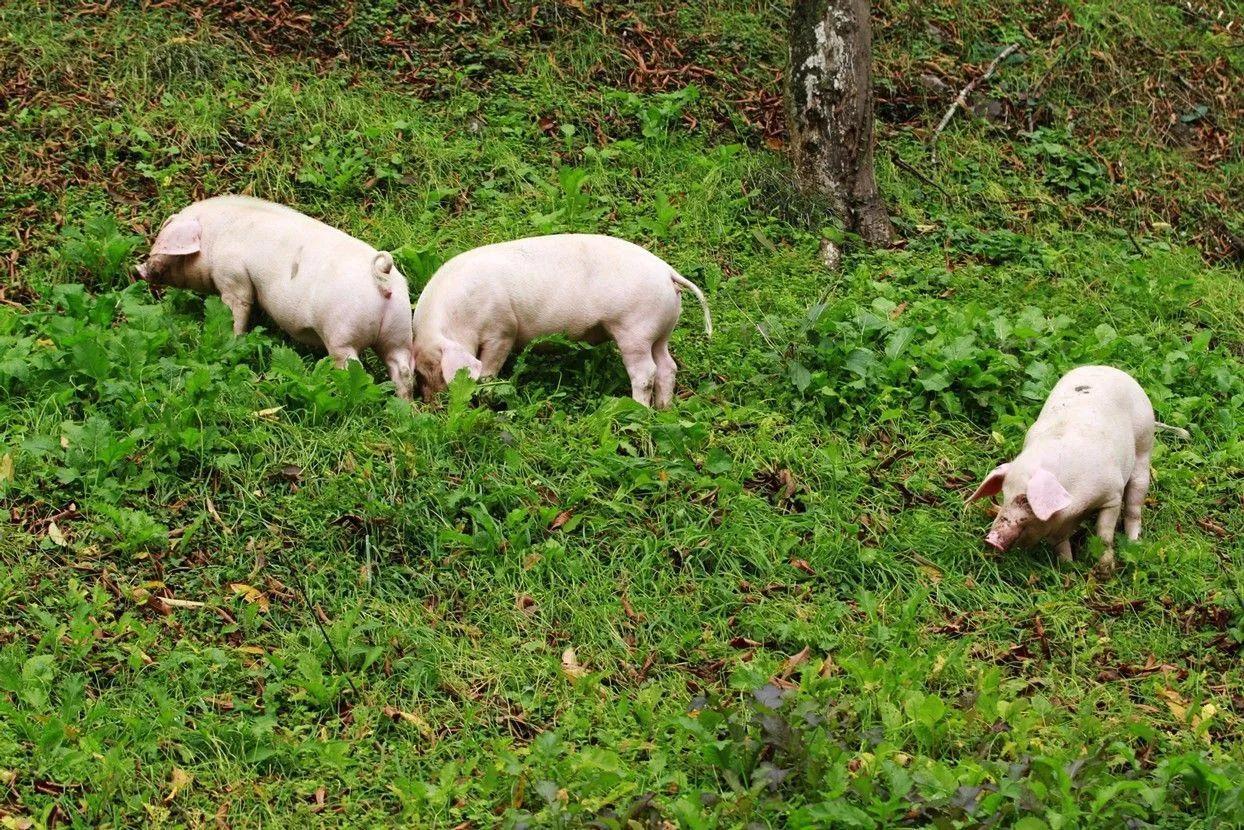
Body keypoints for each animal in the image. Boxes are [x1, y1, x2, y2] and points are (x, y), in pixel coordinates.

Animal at [138, 196, 415, 400]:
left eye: (164, 236)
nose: (138, 269)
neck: (214, 238)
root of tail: (380, 275)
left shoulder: (233, 276)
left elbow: (238, 308)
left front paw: (232, 339)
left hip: (343, 336)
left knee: (352, 368)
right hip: (399, 331)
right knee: (402, 370)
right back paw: (406, 407)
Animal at [413, 233, 716, 408]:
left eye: (437, 369)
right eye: (419, 373)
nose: (431, 405)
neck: (462, 316)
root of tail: (667, 272)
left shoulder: (502, 330)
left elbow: (489, 367)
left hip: (635, 330)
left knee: (646, 372)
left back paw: (638, 409)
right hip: (660, 331)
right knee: (668, 366)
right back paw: (665, 409)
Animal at [965, 365, 1179, 574]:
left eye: (1025, 499)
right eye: (1004, 494)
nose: (990, 540)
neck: (1075, 505)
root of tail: (1112, 369)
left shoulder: (1112, 495)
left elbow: (1104, 534)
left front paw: (1104, 570)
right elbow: (1060, 545)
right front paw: (1068, 569)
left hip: (1144, 445)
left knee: (1134, 505)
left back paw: (1134, 543)